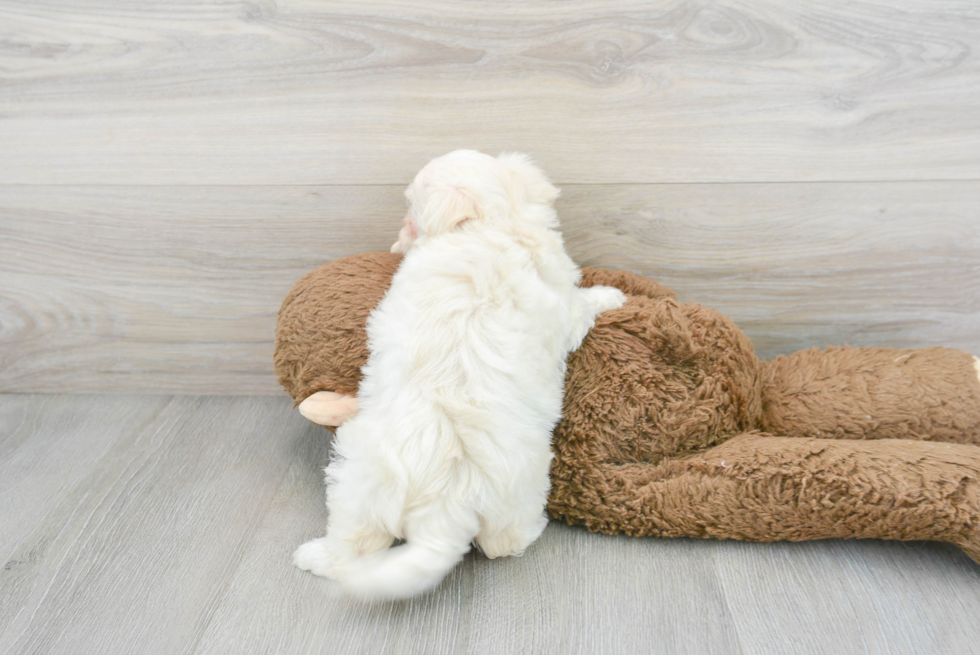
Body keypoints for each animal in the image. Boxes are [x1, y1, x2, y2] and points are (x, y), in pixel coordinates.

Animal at [294, 149, 624, 600]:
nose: (401, 233)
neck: (490, 224)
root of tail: (443, 505)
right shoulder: (565, 306)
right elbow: (583, 303)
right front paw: (611, 295)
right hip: (519, 494)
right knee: (502, 543)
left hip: (359, 480)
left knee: (354, 545)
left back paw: (313, 556)